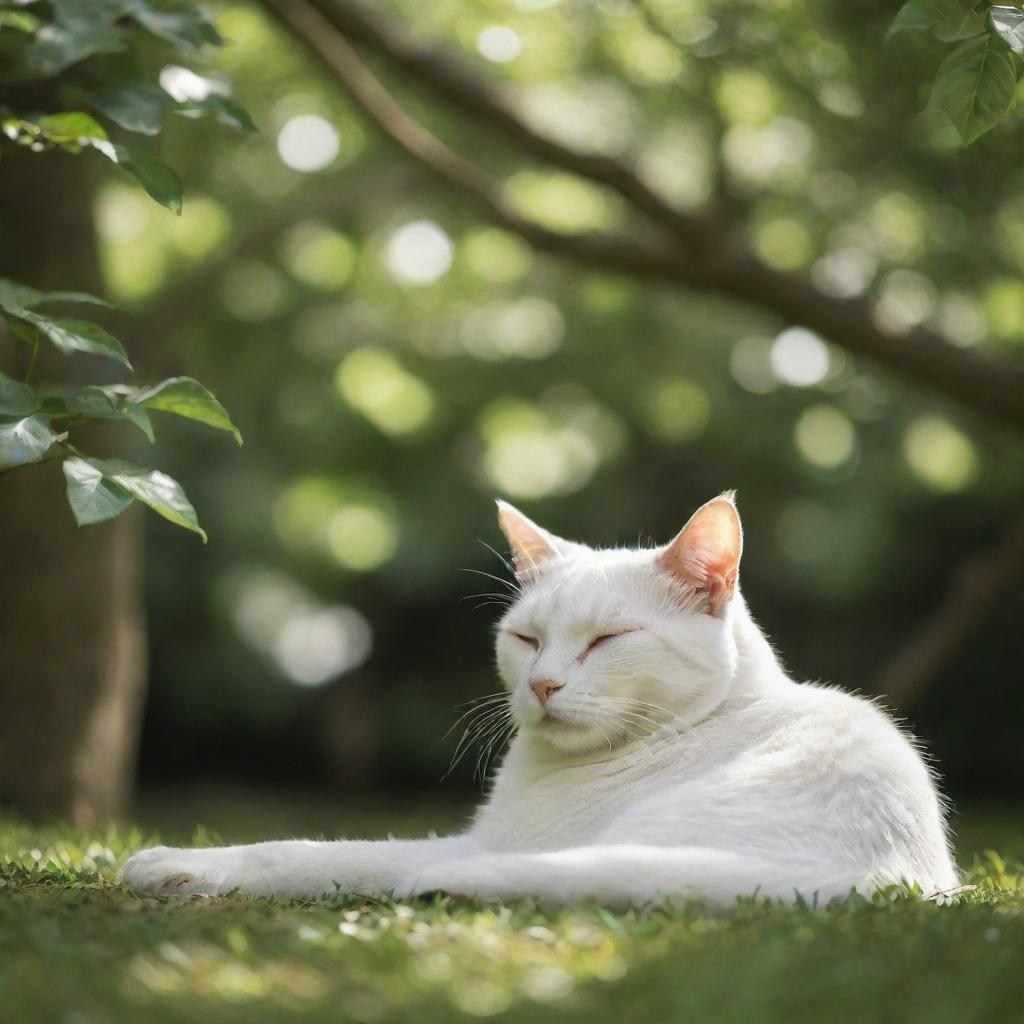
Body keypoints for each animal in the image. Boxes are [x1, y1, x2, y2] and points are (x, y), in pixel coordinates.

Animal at [121, 493, 958, 905]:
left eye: (607, 639)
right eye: (525, 638)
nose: (542, 683)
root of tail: (895, 875)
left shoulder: (481, 844)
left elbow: (306, 853)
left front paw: (175, 865)